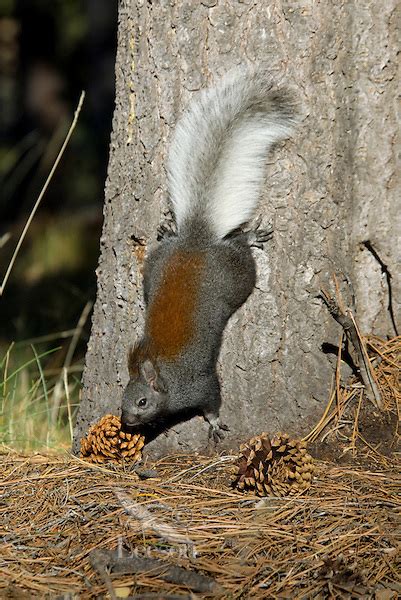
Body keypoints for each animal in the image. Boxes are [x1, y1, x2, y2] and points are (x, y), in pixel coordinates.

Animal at [120, 67, 298, 440]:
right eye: (123, 398)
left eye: (142, 401)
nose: (126, 420)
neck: (167, 380)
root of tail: (195, 241)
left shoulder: (199, 385)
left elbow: (213, 401)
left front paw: (215, 424)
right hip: (154, 267)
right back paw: (169, 232)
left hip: (238, 276)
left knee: (240, 249)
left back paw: (249, 237)